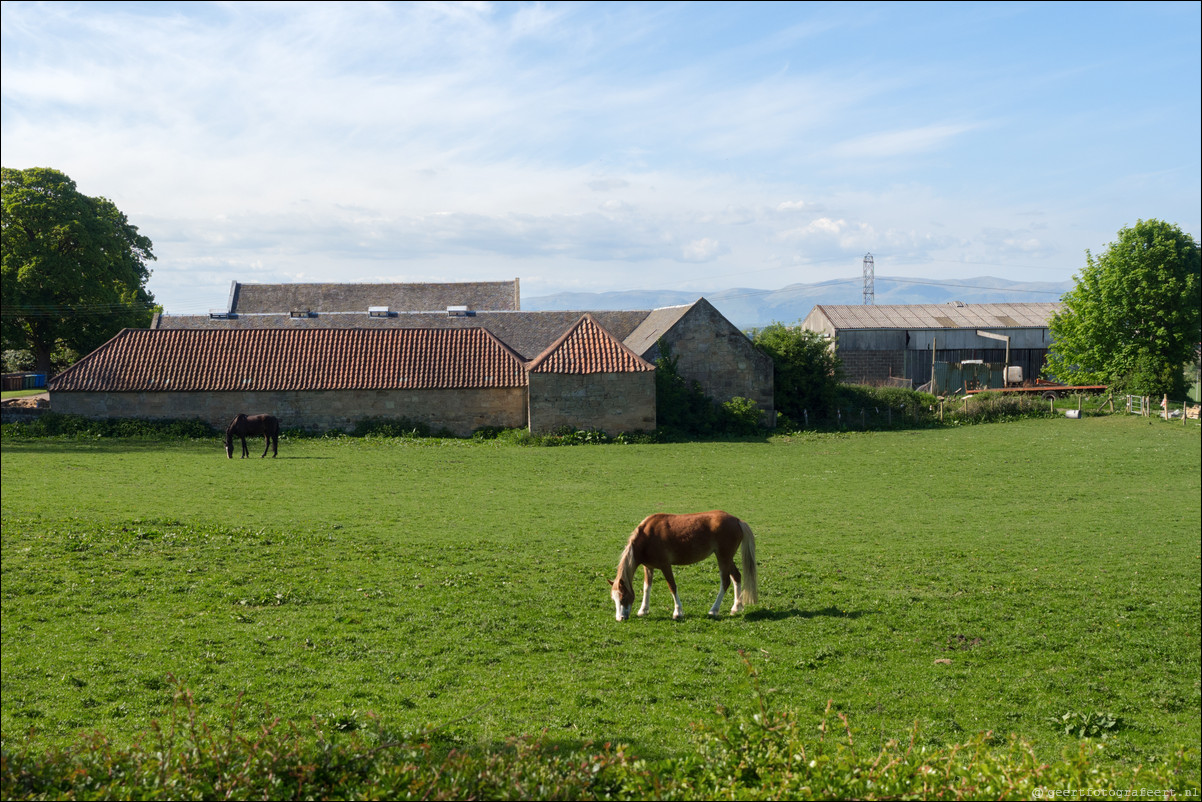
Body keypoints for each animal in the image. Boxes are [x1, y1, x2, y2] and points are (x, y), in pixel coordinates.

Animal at [610, 512, 759, 625]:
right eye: (614, 599)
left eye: (623, 597)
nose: (619, 618)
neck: (648, 536)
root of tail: (737, 520)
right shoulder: (648, 567)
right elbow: (647, 587)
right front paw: (643, 610)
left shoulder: (665, 565)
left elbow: (672, 586)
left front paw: (678, 612)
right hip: (727, 559)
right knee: (736, 577)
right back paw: (736, 608)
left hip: (723, 558)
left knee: (726, 581)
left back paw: (714, 610)